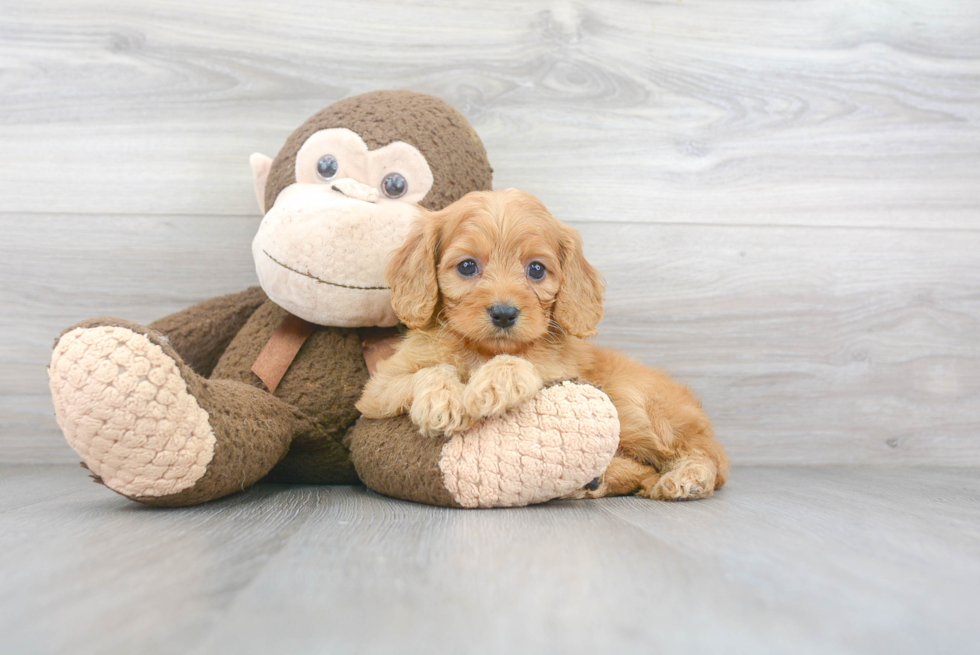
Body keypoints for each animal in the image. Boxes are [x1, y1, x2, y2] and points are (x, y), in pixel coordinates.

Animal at [358, 190, 728, 502]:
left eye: (536, 269)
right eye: (467, 266)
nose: (504, 313)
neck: (482, 350)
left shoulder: (562, 371)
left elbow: (524, 363)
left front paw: (495, 383)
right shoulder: (377, 391)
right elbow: (431, 370)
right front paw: (441, 402)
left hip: (634, 404)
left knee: (704, 456)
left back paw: (686, 478)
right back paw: (596, 481)